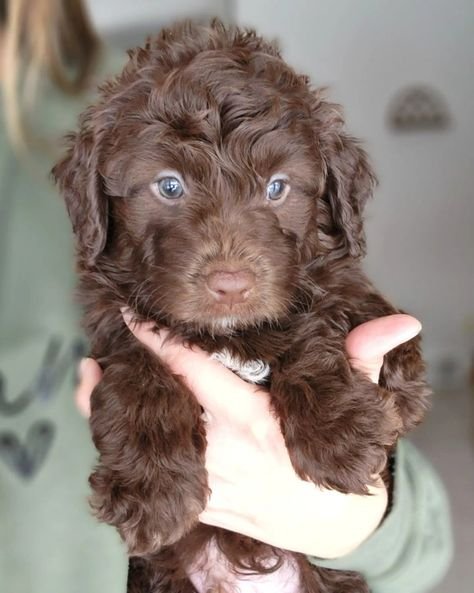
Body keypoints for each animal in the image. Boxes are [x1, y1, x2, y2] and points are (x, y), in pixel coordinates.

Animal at [53, 18, 432, 592]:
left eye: (277, 188)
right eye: (169, 186)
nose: (230, 284)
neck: (229, 332)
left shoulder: (329, 278)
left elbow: (331, 311)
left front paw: (344, 428)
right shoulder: (115, 321)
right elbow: (138, 372)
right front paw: (151, 490)